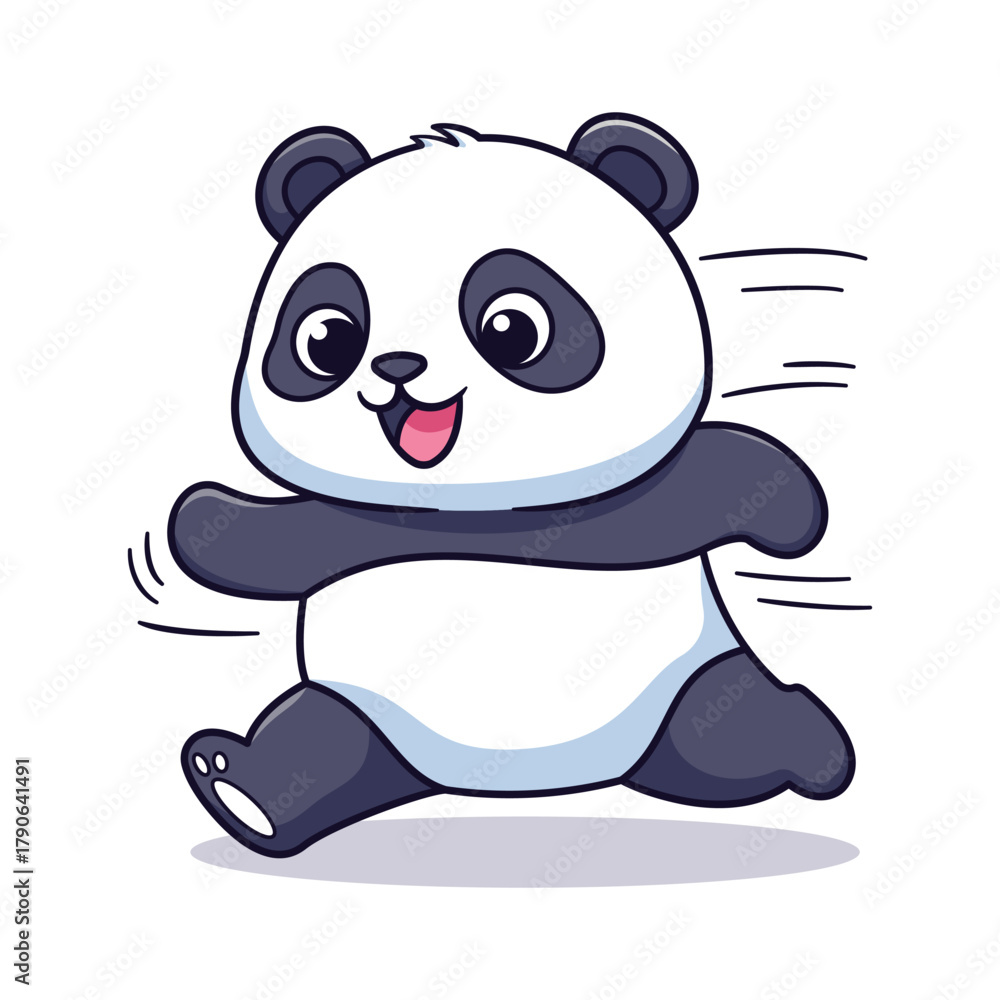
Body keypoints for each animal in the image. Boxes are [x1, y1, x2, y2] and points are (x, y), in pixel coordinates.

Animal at [170, 114, 854, 858]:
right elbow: (284, 541)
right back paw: (242, 787)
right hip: (361, 708)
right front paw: (199, 519)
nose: (397, 366)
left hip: (690, 677)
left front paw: (789, 516)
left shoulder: (621, 506)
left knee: (725, 721)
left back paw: (802, 743)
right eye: (327, 338)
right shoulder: (352, 520)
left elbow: (700, 485)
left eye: (513, 328)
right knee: (320, 741)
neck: (471, 507)